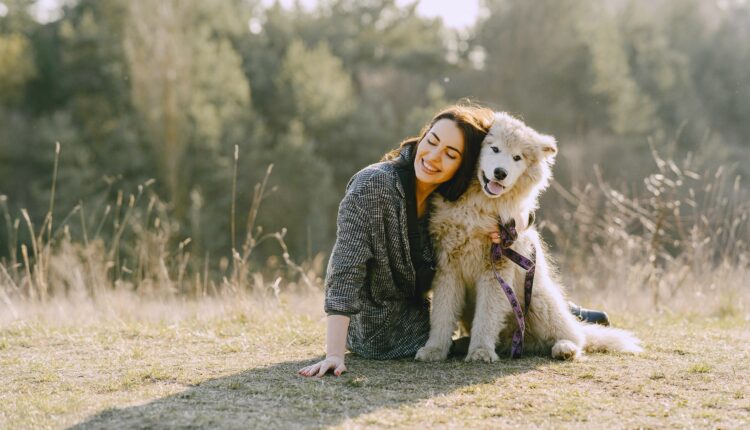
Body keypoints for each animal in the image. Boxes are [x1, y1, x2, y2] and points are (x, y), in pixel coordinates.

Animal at [418, 112, 640, 362]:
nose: (500, 173)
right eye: (494, 148)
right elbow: (442, 314)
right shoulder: (448, 267)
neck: (479, 205)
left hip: (538, 301)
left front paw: (481, 351)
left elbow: (486, 317)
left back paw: (564, 348)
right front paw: (434, 349)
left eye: (517, 157)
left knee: (574, 336)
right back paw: (464, 345)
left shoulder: (497, 266)